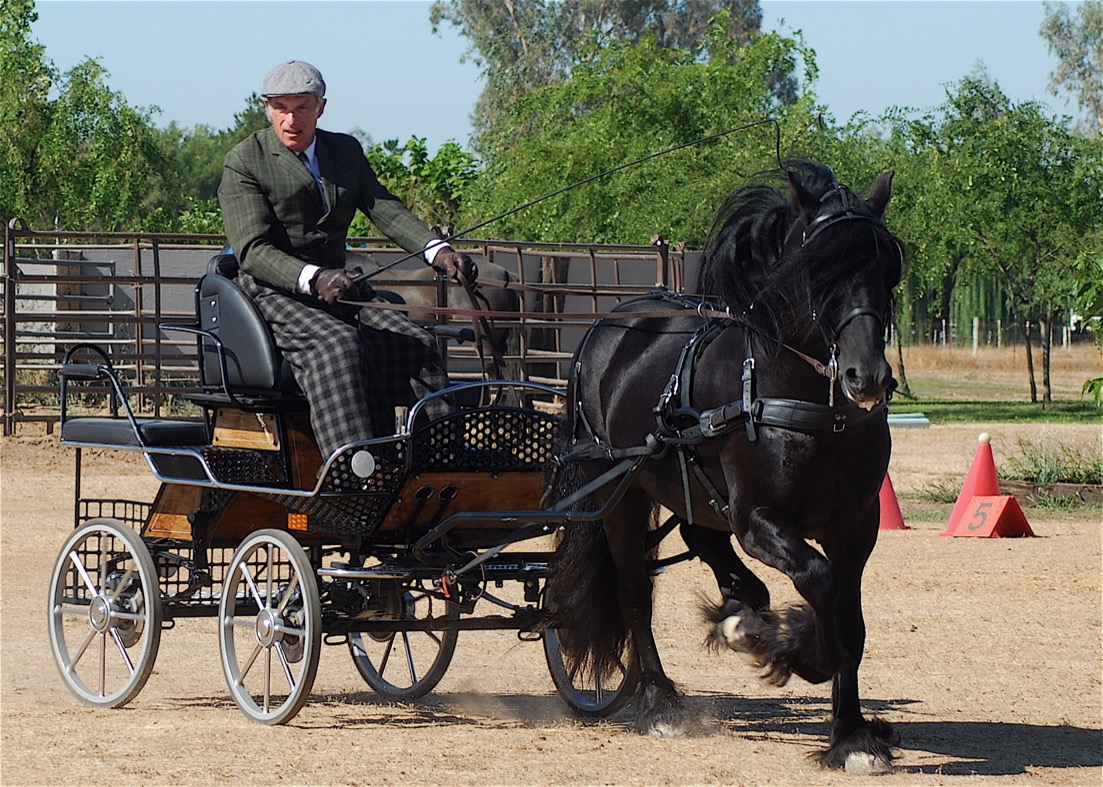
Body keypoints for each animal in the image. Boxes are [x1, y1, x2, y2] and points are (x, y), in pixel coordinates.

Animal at [547, 162, 900, 771]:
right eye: (819, 269)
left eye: (886, 269)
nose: (867, 377)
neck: (811, 408)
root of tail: (606, 325)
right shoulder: (757, 519)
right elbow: (819, 583)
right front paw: (800, 655)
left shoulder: (856, 529)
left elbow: (849, 622)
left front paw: (852, 734)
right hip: (623, 496)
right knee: (635, 593)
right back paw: (660, 700)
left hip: (691, 487)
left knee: (701, 539)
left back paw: (739, 614)